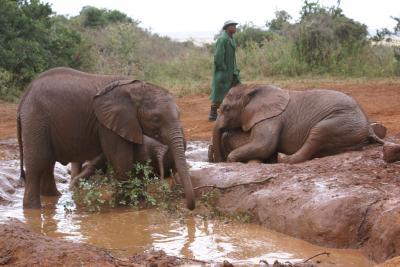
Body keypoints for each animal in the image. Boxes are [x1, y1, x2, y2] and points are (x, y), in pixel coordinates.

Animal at [17, 66, 195, 209]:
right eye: (156, 119)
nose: (189, 207)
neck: (136, 88)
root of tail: (25, 94)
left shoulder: (130, 123)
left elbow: (139, 157)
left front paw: (140, 201)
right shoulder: (107, 124)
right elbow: (121, 160)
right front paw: (124, 206)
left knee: (48, 163)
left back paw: (54, 197)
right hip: (36, 119)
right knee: (38, 163)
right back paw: (33, 209)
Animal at [211, 84, 386, 163]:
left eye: (226, 109)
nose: (218, 160)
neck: (252, 89)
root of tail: (368, 127)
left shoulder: (271, 118)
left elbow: (264, 145)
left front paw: (231, 160)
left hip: (344, 121)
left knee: (318, 132)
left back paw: (285, 160)